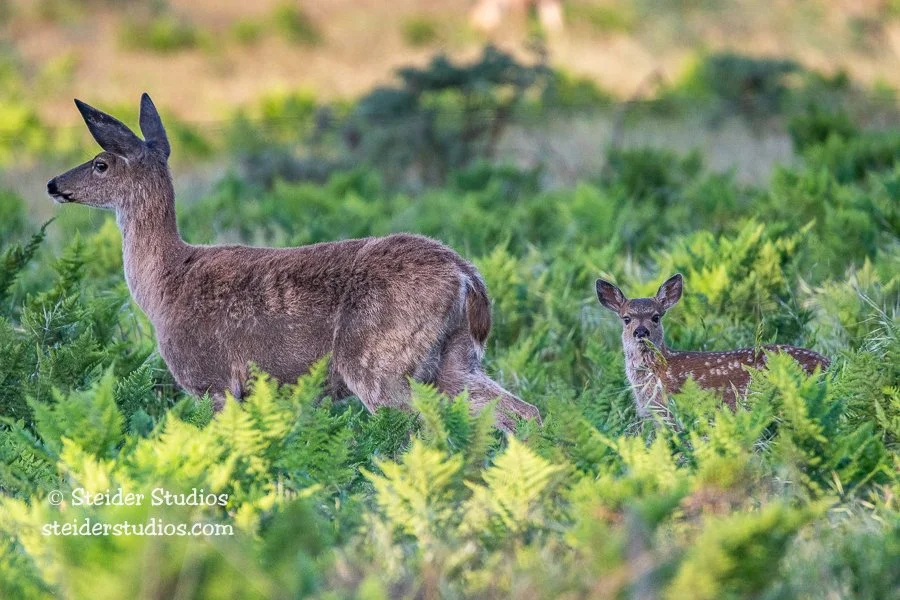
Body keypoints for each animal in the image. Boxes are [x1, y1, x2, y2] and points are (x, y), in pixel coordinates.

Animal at [46, 94, 541, 431]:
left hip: (379, 361)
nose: (53, 184)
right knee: (520, 411)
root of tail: (468, 279)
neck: (164, 284)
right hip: (456, 360)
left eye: (100, 163)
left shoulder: (210, 380)